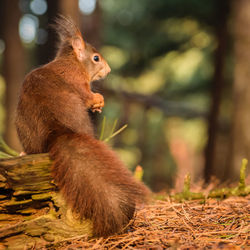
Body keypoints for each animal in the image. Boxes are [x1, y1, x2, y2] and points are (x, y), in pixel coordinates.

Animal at [15, 15, 148, 236]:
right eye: (96, 58)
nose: (109, 70)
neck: (72, 62)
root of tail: (57, 130)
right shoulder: (78, 81)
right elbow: (87, 96)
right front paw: (98, 101)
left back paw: (25, 152)